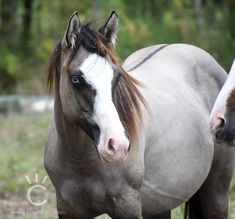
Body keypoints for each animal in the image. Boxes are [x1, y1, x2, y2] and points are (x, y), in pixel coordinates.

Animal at [44, 11, 235, 218]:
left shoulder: (128, 206)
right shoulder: (68, 210)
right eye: (76, 79)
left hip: (216, 193)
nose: (117, 145)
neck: (80, 161)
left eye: (117, 76)